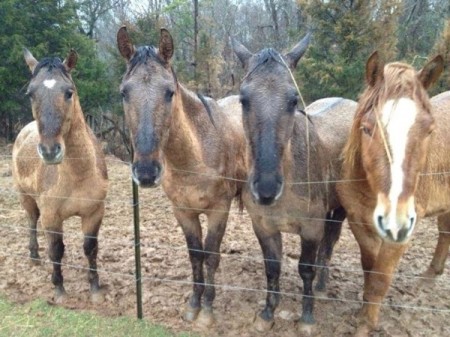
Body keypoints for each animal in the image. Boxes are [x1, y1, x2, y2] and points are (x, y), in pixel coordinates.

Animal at [12, 48, 108, 302]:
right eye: (30, 93)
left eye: (68, 92)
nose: (49, 151)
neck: (78, 174)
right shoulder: (52, 217)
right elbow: (56, 250)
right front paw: (59, 289)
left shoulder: (94, 213)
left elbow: (90, 248)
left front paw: (95, 288)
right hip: (26, 198)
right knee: (31, 221)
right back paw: (34, 256)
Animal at [116, 26, 246, 326]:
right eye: (124, 93)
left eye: (169, 92)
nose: (146, 172)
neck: (195, 158)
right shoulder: (183, 212)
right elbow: (195, 255)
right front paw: (193, 304)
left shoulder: (219, 210)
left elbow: (211, 255)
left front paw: (207, 310)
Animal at [230, 35, 356, 332]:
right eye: (243, 99)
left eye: (293, 99)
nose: (266, 188)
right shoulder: (264, 226)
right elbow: (272, 268)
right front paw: (267, 314)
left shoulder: (311, 228)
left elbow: (305, 269)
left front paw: (307, 318)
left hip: (339, 209)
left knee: (329, 243)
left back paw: (322, 286)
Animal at [336, 51, 444, 334]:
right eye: (366, 128)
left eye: (429, 130)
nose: (396, 220)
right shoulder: (358, 220)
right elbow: (369, 268)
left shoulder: (402, 235)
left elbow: (380, 278)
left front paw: (365, 325)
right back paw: (430, 276)